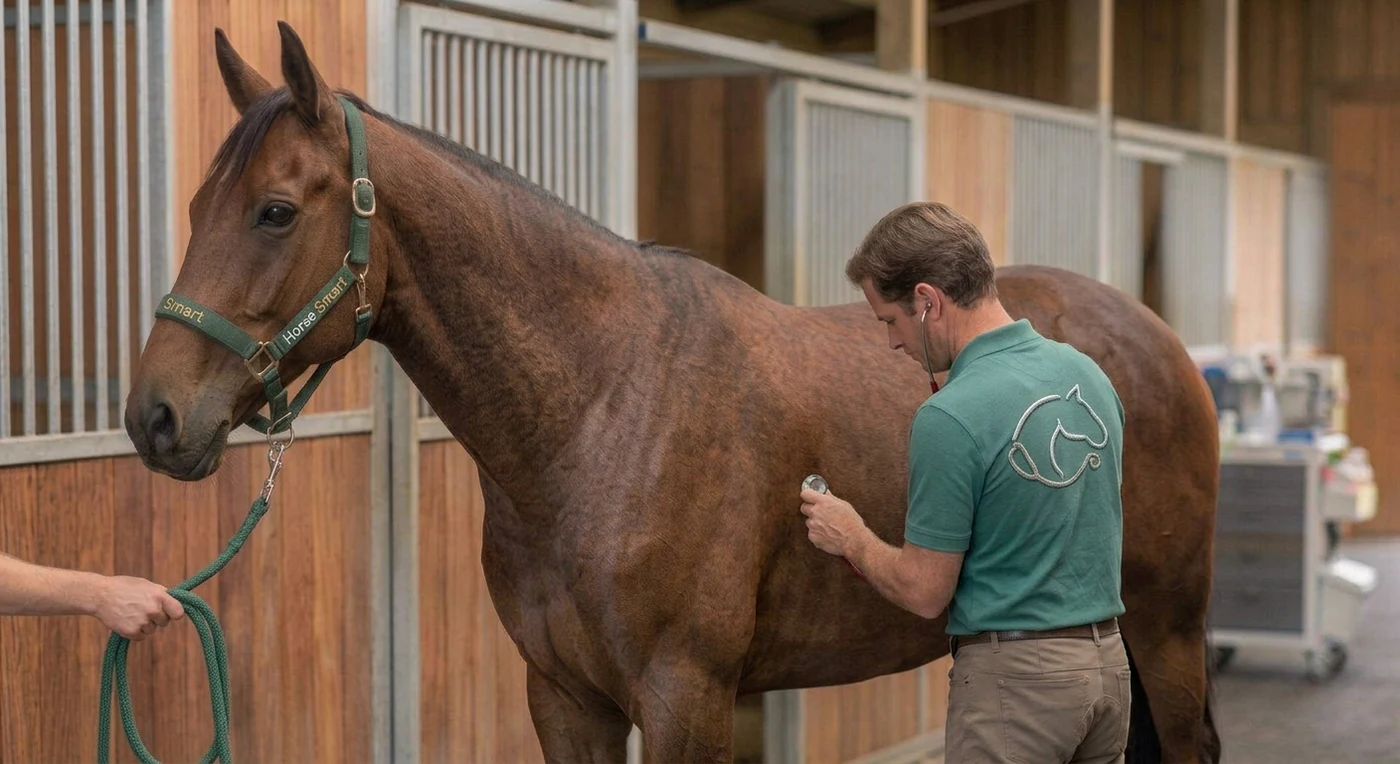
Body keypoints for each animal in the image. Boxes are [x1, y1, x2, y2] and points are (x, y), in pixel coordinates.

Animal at [124, 22, 1221, 764]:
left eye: (273, 211)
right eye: (196, 203)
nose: (153, 417)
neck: (601, 412)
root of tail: (1149, 340)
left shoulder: (687, 695)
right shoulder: (564, 696)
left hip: (1163, 623)